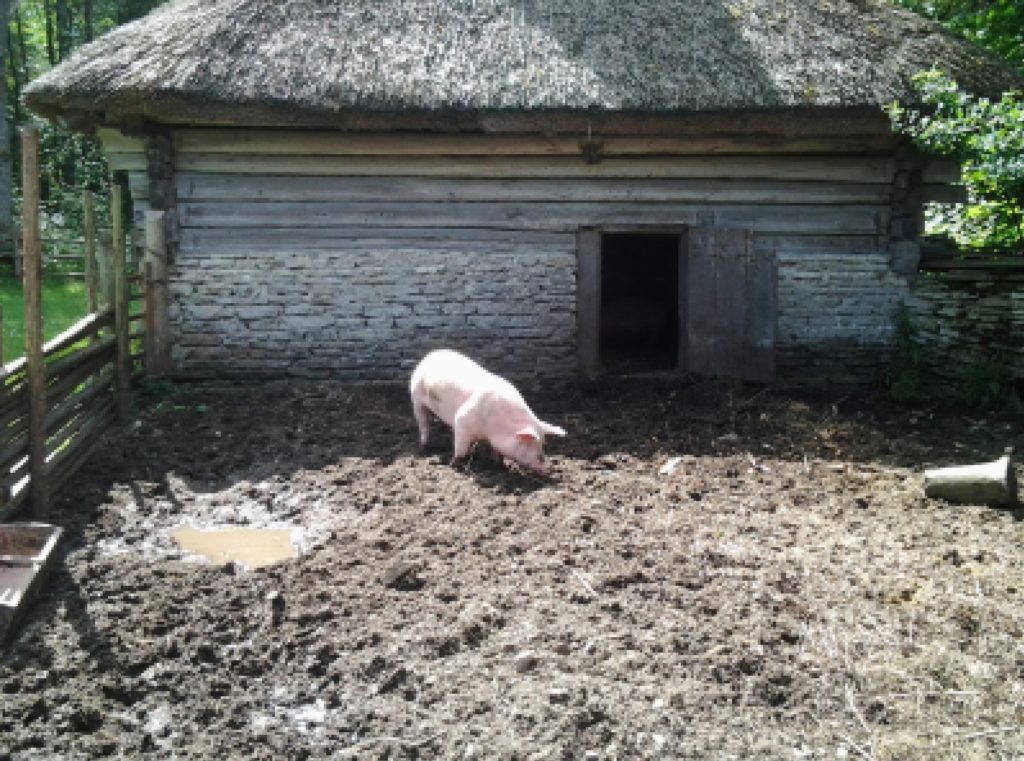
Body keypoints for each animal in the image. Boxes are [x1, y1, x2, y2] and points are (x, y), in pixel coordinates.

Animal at [407, 348, 569, 473]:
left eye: (543, 444)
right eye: (531, 444)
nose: (548, 469)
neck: (491, 430)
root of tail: (429, 355)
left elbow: (497, 452)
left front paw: (501, 467)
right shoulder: (462, 421)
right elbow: (460, 449)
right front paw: (454, 465)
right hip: (416, 399)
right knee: (423, 424)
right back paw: (425, 446)